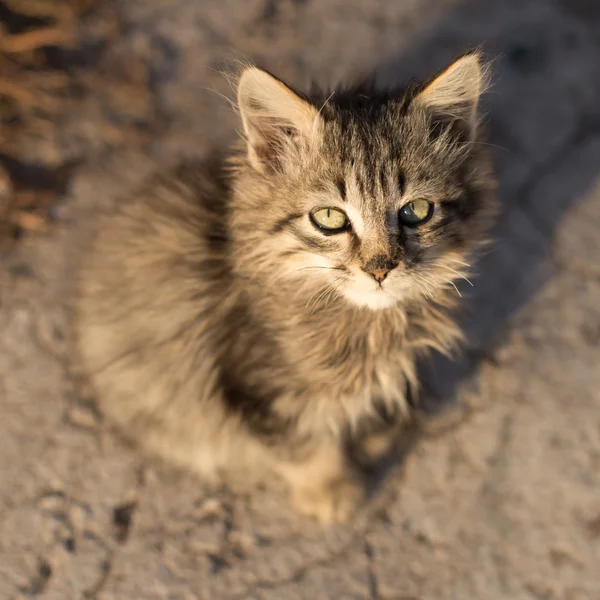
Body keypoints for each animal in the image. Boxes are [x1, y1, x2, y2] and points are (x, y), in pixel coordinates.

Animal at [74, 54, 496, 524]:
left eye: (416, 211)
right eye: (329, 218)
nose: (380, 269)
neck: (365, 326)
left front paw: (372, 436)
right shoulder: (260, 389)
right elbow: (307, 447)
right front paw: (331, 491)